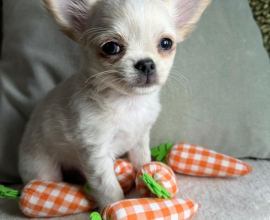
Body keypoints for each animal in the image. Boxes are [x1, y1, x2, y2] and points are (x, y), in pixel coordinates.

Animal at [19, 0, 211, 210]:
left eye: (166, 43)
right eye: (111, 47)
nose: (146, 64)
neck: (129, 103)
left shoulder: (140, 138)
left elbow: (142, 160)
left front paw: (146, 178)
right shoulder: (96, 154)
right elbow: (109, 187)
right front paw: (114, 206)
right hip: (43, 167)